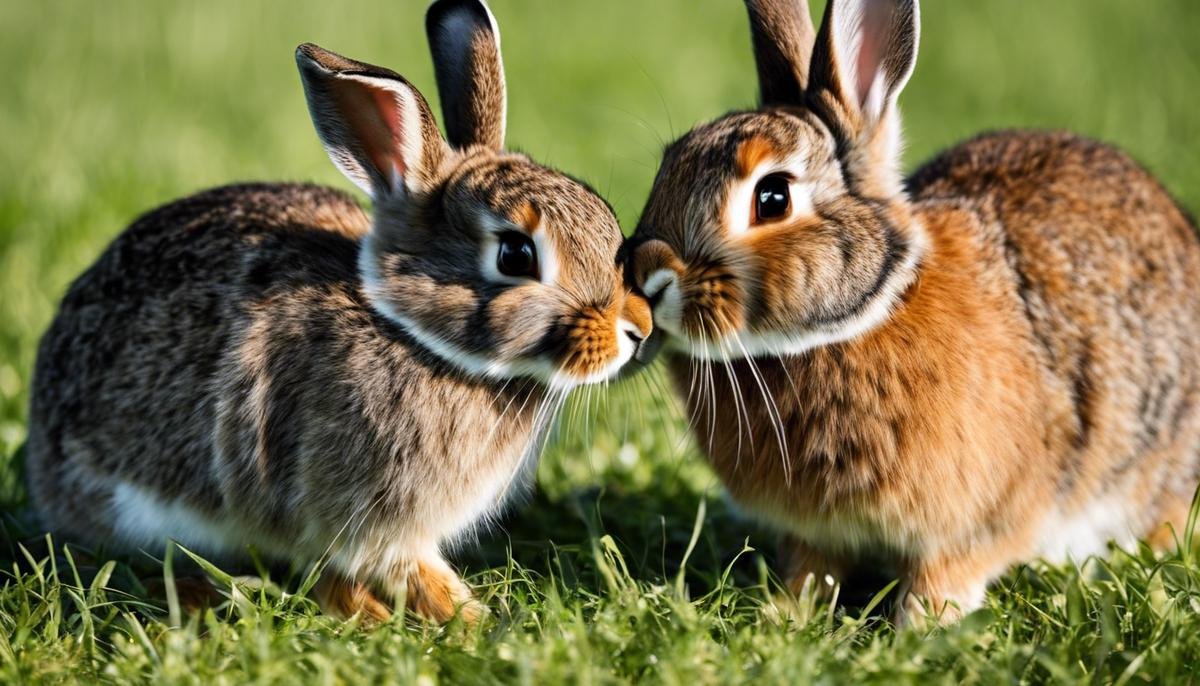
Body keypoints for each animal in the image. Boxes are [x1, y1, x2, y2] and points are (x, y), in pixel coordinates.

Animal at [25, 0, 648, 623]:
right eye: (515, 254)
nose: (637, 330)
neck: (417, 340)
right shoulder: (365, 520)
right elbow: (389, 569)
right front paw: (468, 617)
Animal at [628, 0, 1200, 623]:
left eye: (773, 197)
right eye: (667, 164)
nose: (647, 278)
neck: (863, 318)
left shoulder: (973, 525)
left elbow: (942, 577)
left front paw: (920, 627)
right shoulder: (815, 533)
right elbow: (811, 569)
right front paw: (782, 614)